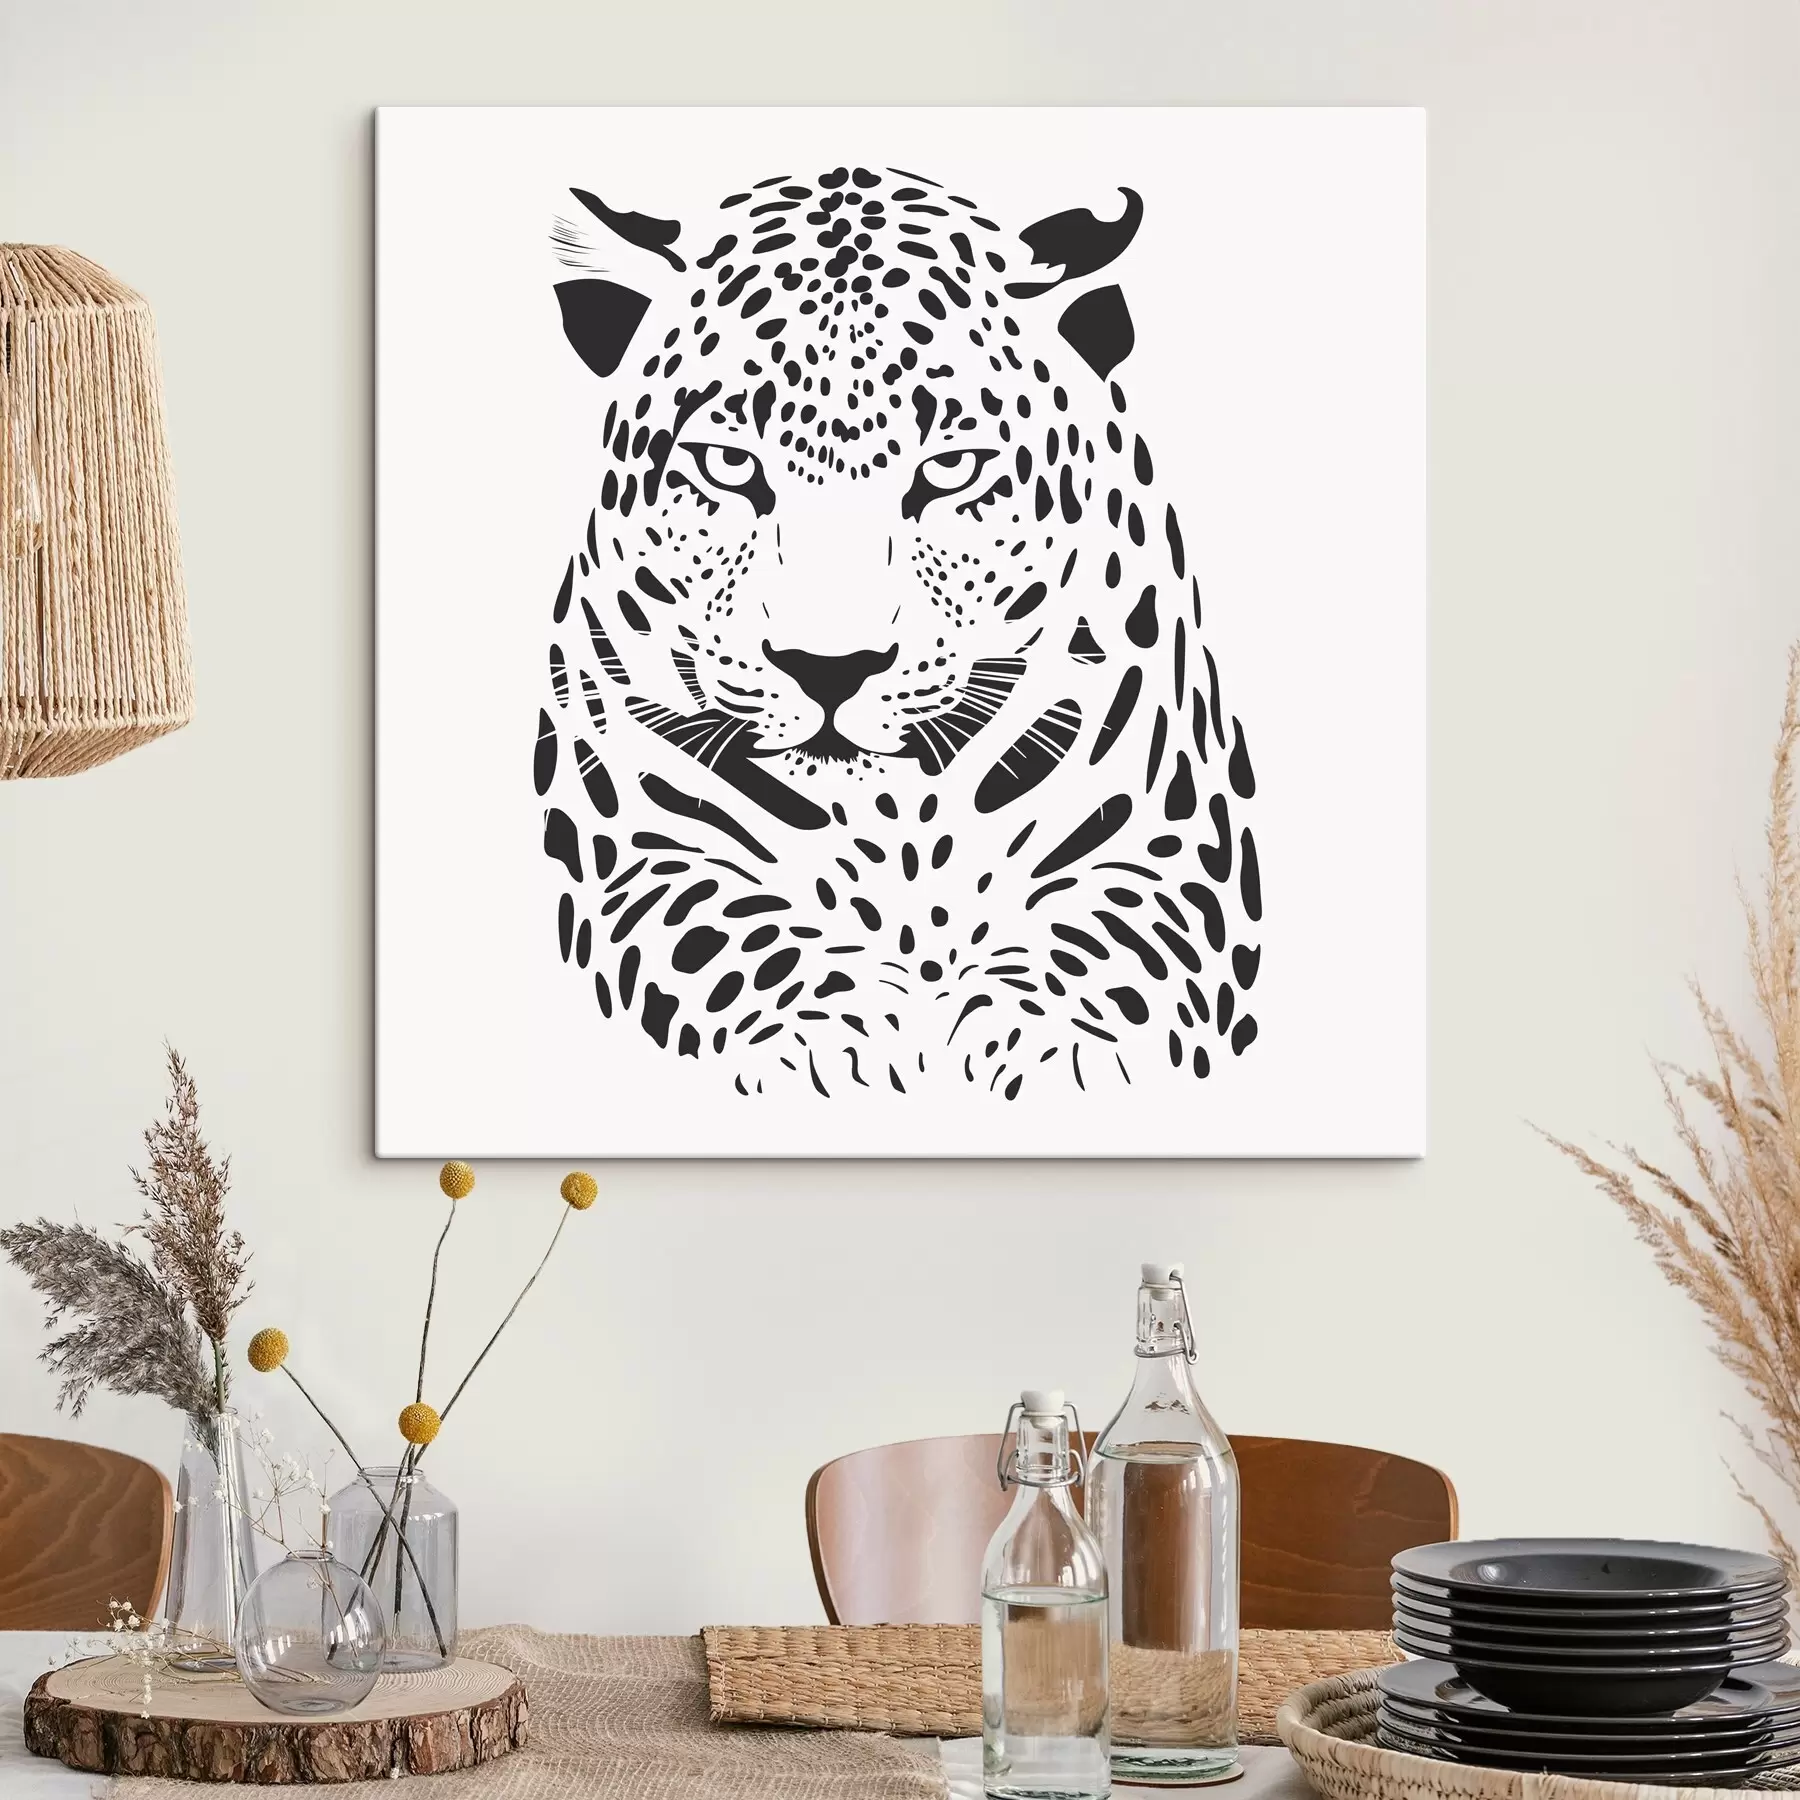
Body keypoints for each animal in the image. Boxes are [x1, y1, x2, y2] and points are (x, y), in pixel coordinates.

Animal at [533, 162, 1263, 1100]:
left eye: (950, 470)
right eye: (728, 464)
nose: (828, 668)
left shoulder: (1171, 850)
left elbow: (1114, 950)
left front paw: (1053, 1049)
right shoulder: (637, 849)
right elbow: (723, 936)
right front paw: (828, 1041)